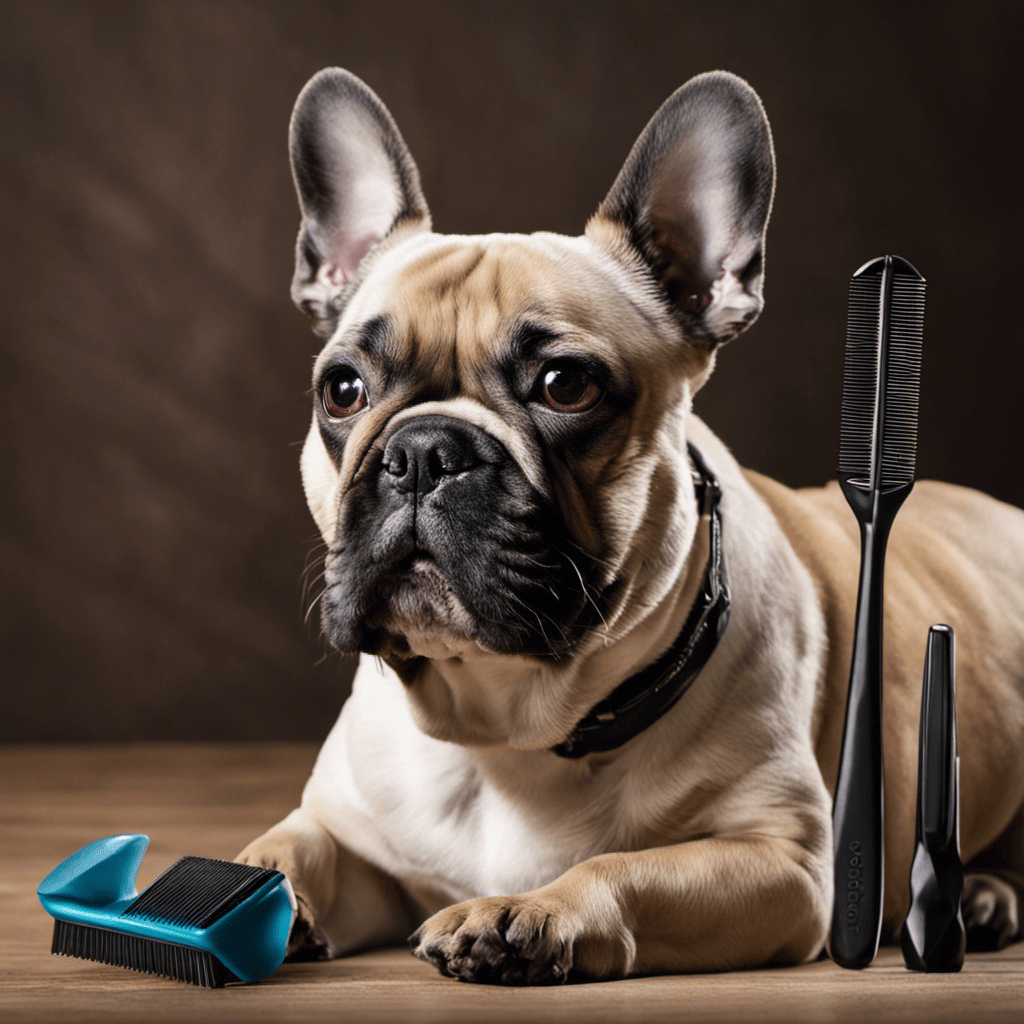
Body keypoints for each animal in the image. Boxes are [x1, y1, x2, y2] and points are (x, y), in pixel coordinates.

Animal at [237, 68, 1024, 978]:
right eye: (343, 391)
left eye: (565, 385)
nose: (425, 451)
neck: (505, 729)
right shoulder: (354, 839)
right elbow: (294, 845)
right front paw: (248, 887)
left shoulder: (785, 865)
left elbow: (623, 867)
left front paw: (526, 910)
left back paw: (984, 896)